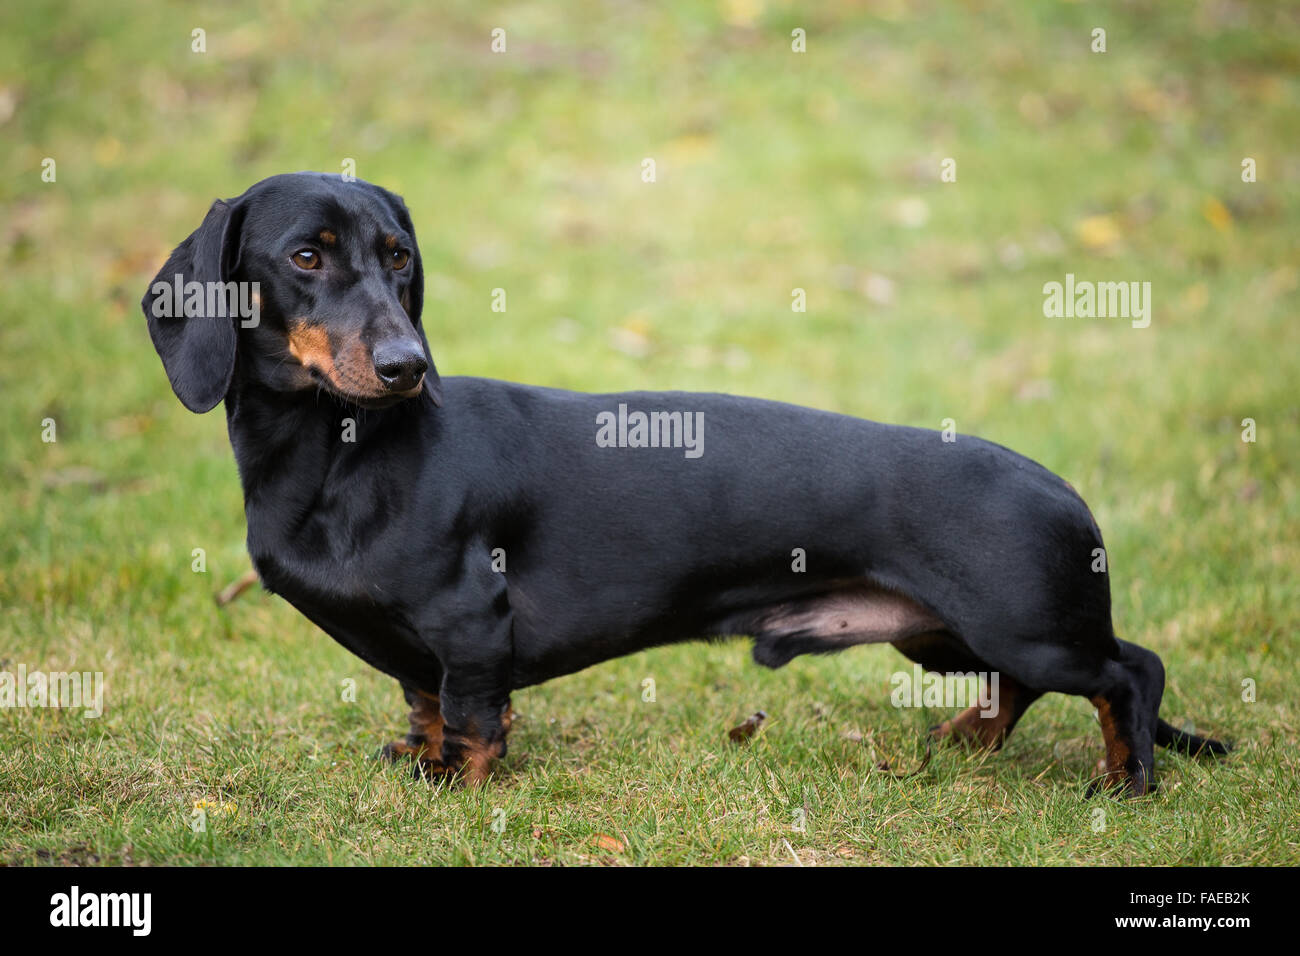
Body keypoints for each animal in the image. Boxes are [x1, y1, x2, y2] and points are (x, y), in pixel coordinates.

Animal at [144, 171, 1227, 790]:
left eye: (398, 257)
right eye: (305, 255)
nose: (408, 365)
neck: (343, 451)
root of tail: (1064, 488)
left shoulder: (467, 620)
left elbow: (473, 710)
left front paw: (463, 779)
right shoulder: (419, 644)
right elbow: (422, 698)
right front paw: (420, 755)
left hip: (1024, 627)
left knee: (1129, 672)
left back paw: (1125, 779)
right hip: (946, 638)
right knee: (1024, 689)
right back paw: (970, 736)